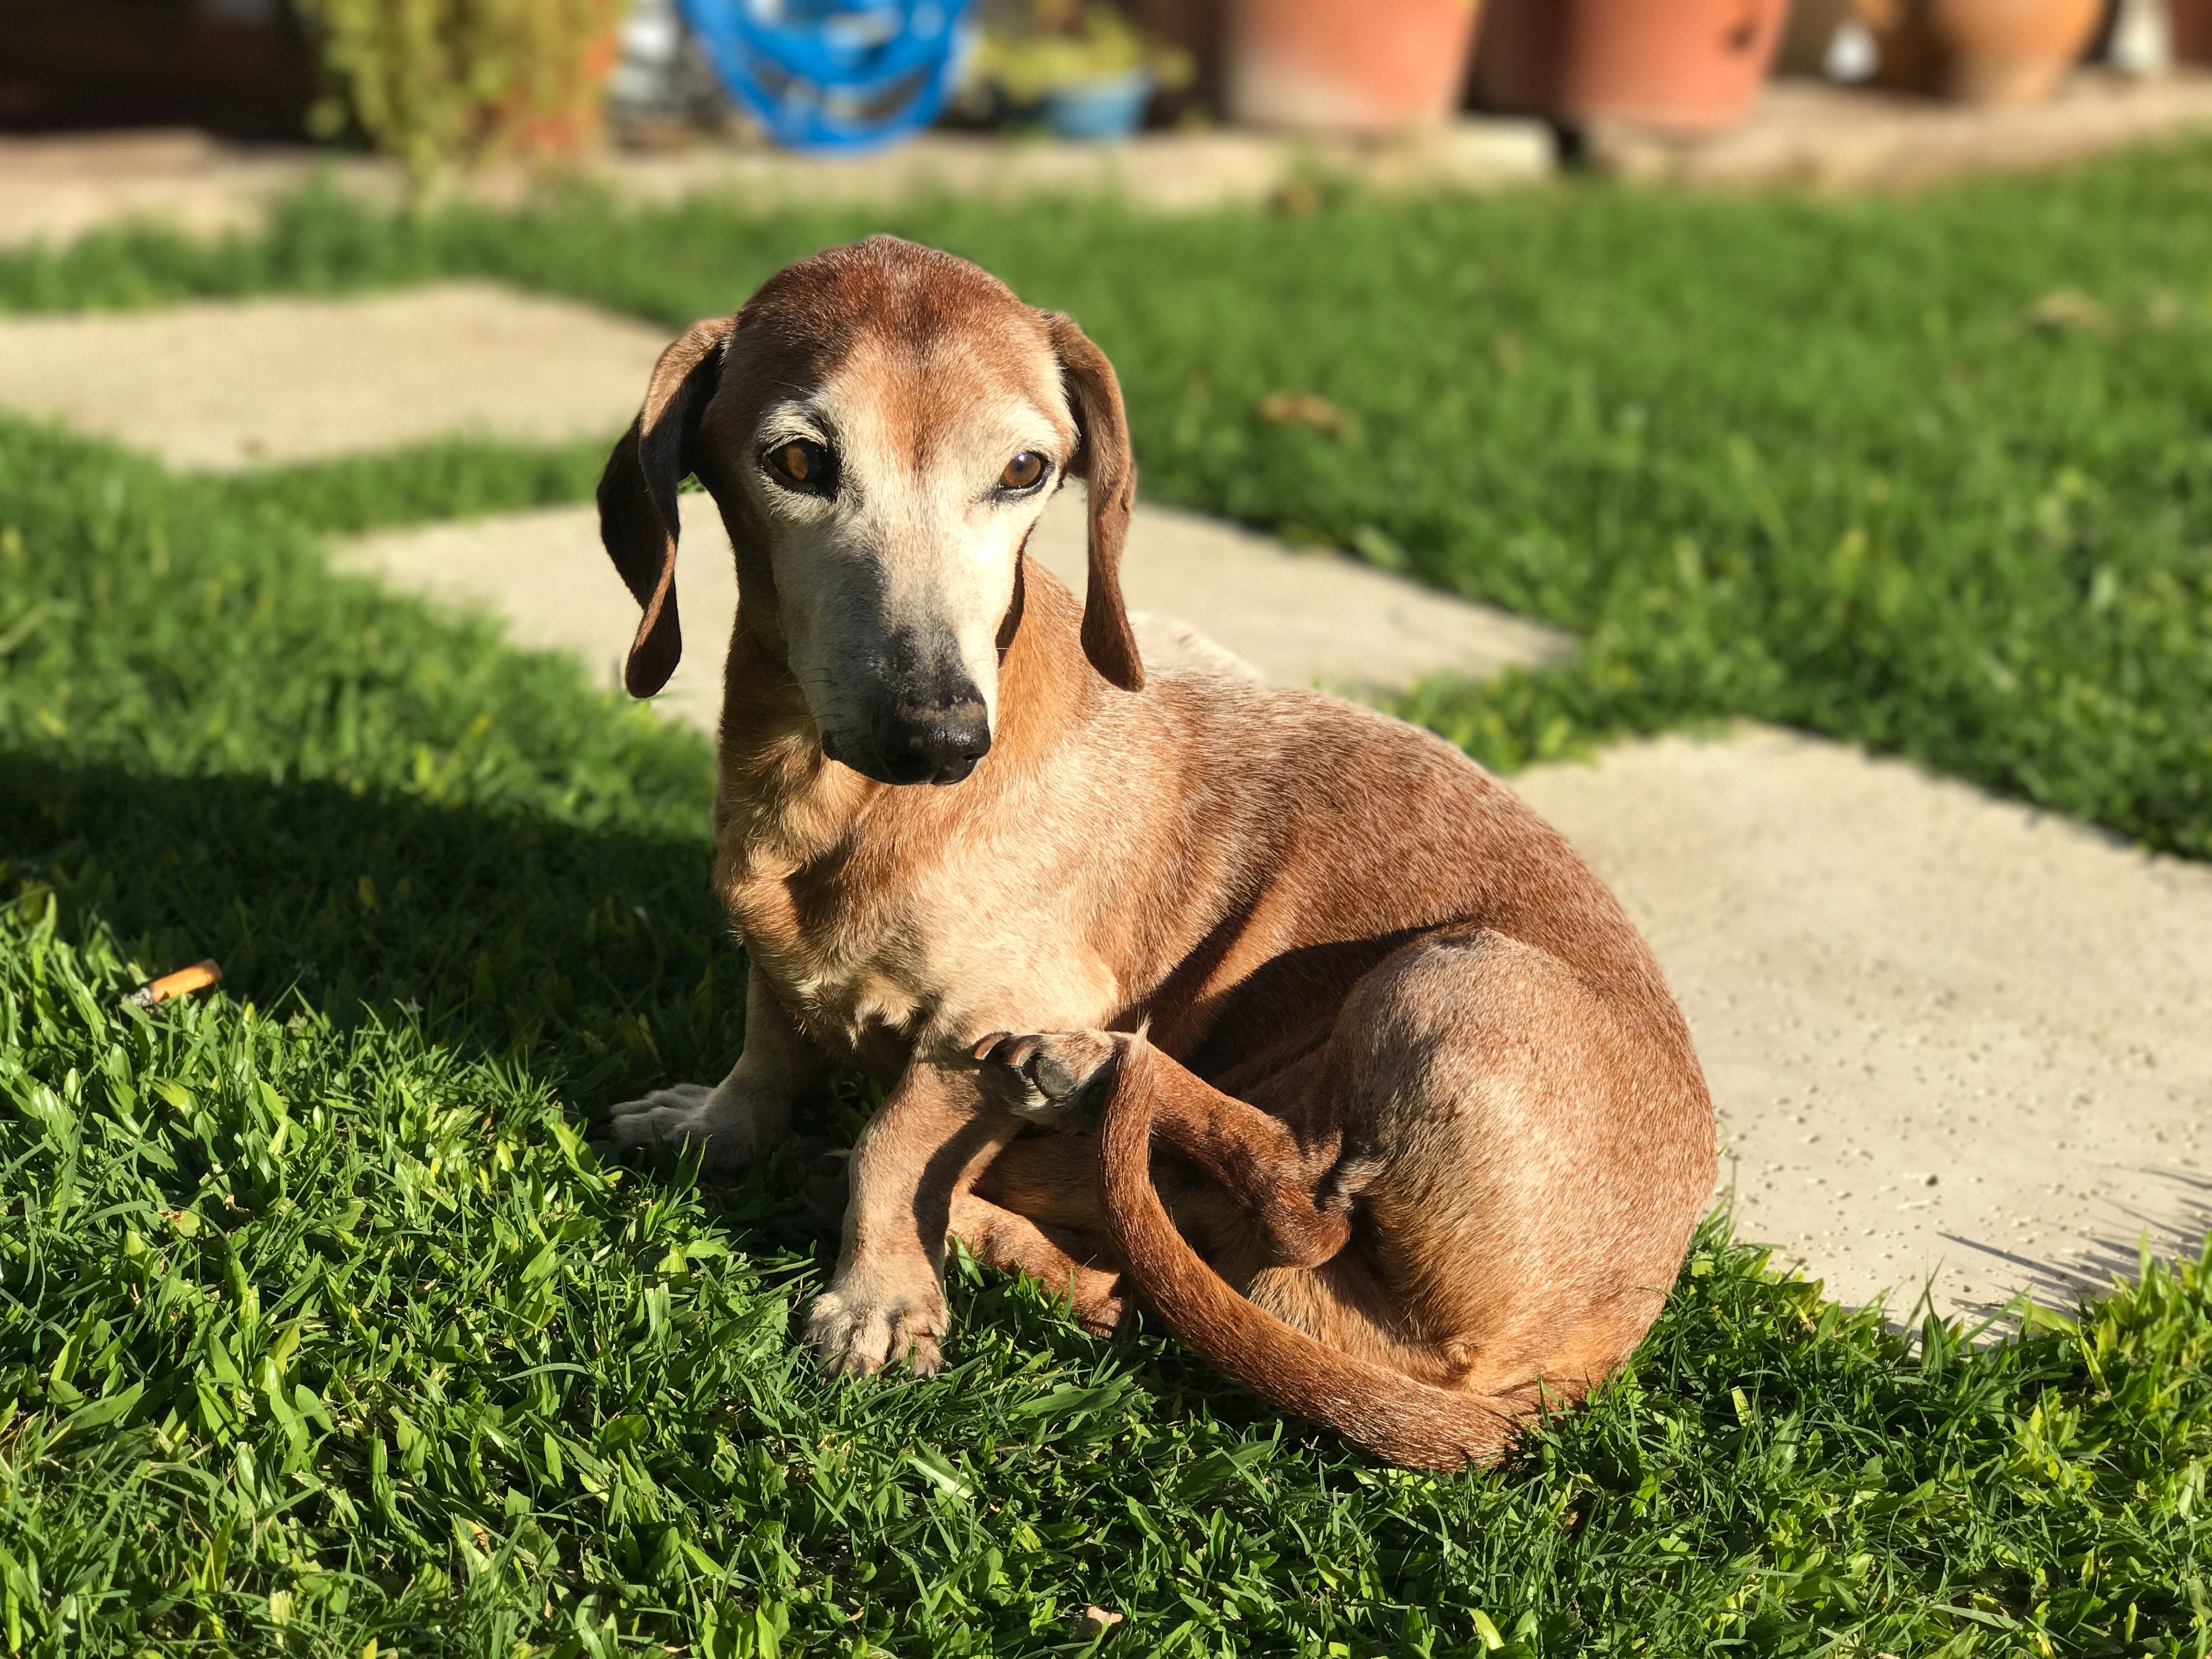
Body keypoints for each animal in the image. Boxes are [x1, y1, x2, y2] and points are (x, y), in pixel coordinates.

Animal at [588, 231, 1707, 1469]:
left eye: (1025, 470)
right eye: (796, 459)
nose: (941, 734)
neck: (833, 802)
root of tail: (1578, 1364)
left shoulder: (983, 1020)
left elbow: (891, 1144)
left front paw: (877, 1298)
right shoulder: (780, 963)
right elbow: (769, 1047)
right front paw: (714, 1127)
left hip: (1456, 975)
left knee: (1303, 1201)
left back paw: (1072, 1082)